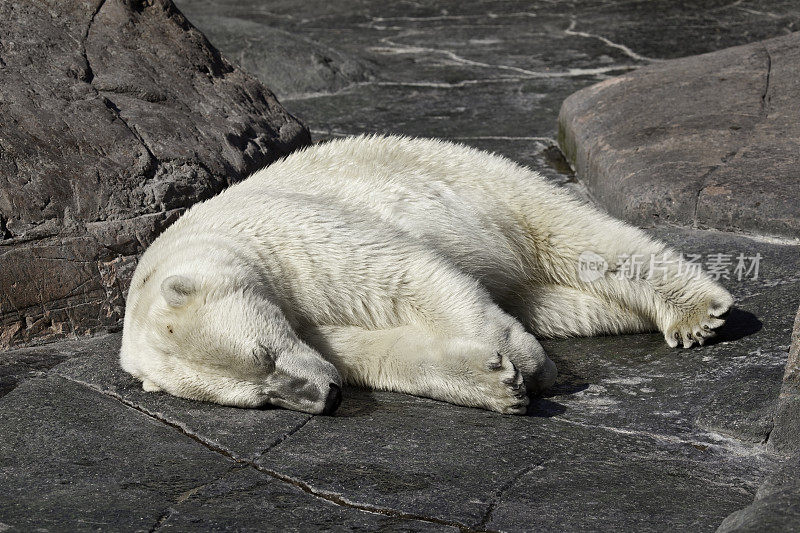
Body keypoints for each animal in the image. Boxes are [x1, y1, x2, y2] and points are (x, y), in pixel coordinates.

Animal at [117, 134, 732, 416]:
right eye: (259, 399)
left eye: (263, 355)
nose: (326, 397)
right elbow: (368, 348)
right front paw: (496, 381)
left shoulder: (286, 236)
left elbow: (400, 275)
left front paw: (525, 364)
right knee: (559, 301)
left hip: (480, 183)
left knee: (574, 238)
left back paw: (695, 312)